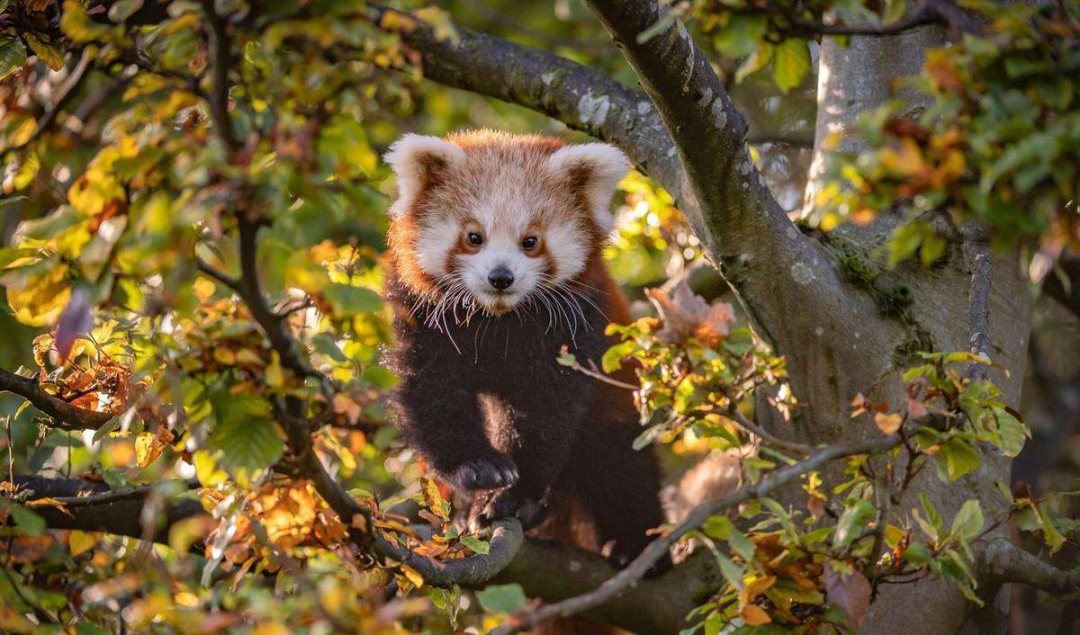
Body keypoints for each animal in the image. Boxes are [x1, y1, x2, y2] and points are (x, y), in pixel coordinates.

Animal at [380, 131, 665, 630]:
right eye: (474, 237)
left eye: (530, 241)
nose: (501, 277)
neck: (497, 322)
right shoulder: (422, 315)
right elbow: (433, 397)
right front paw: (479, 471)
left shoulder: (573, 327)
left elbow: (547, 415)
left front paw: (515, 496)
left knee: (622, 466)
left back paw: (638, 546)